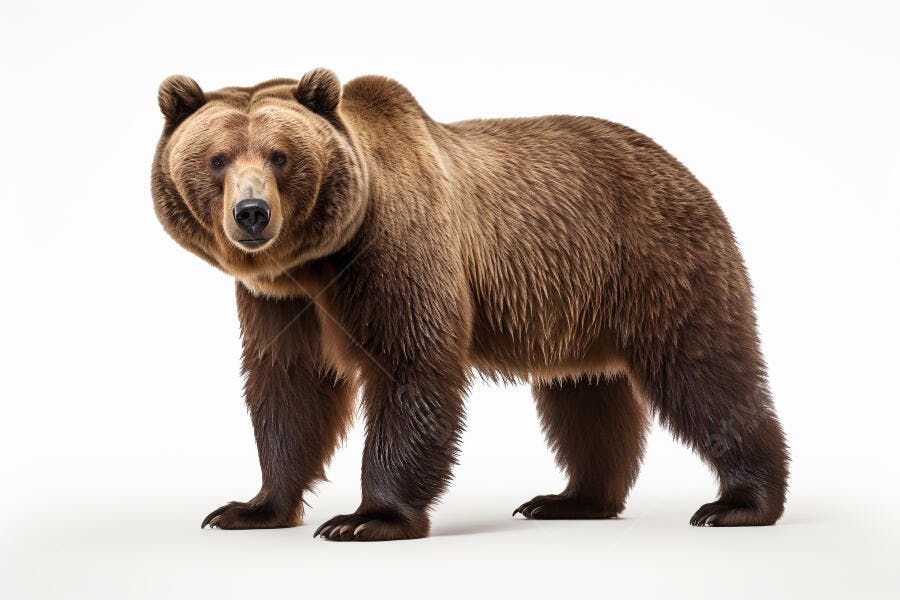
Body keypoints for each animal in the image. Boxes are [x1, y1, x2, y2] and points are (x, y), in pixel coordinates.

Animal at [152, 68, 789, 541]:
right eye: (217, 158)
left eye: (280, 155)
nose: (251, 214)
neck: (318, 260)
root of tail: (678, 162)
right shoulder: (283, 301)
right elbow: (290, 385)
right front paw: (248, 508)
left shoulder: (396, 249)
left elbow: (411, 365)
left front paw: (366, 518)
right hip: (581, 305)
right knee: (586, 399)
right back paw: (570, 499)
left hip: (656, 257)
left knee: (704, 371)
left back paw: (740, 503)